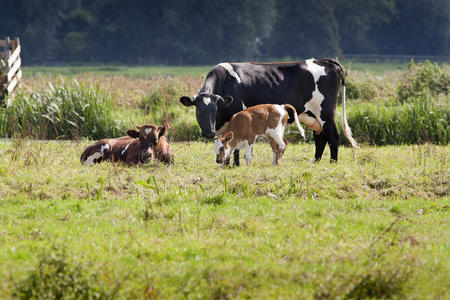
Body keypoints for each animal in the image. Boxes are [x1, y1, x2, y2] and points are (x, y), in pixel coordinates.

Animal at [179, 57, 358, 163]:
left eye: (215, 110)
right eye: (199, 110)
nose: (209, 132)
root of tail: (325, 60)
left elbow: (236, 145)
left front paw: (235, 165)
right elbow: (226, 143)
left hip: (325, 112)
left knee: (333, 136)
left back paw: (333, 162)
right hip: (312, 116)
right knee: (320, 137)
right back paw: (314, 161)